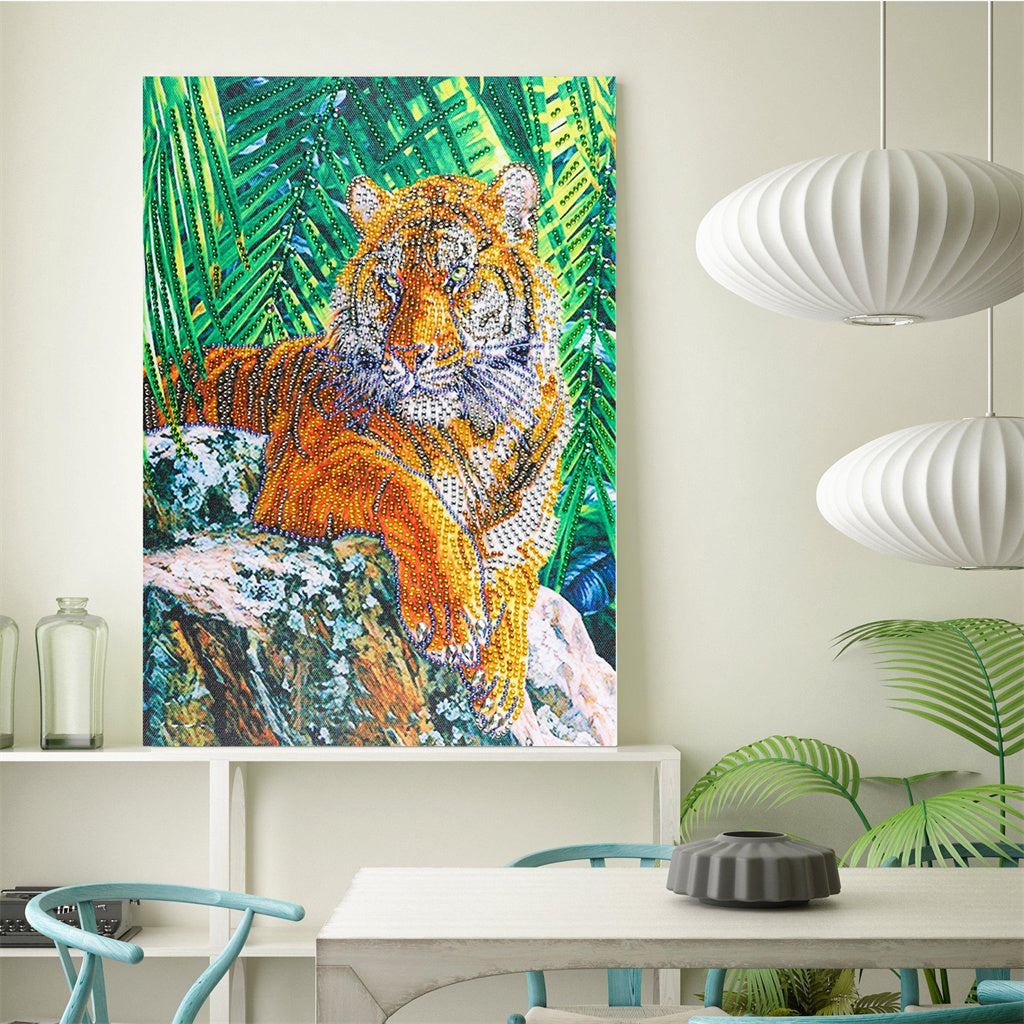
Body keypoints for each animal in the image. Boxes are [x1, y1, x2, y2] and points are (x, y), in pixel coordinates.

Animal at [144, 164, 571, 735]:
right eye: (390, 283)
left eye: (458, 275)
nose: (409, 355)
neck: (475, 425)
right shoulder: (304, 468)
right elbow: (405, 490)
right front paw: (450, 614)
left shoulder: (526, 532)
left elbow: (517, 583)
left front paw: (500, 676)